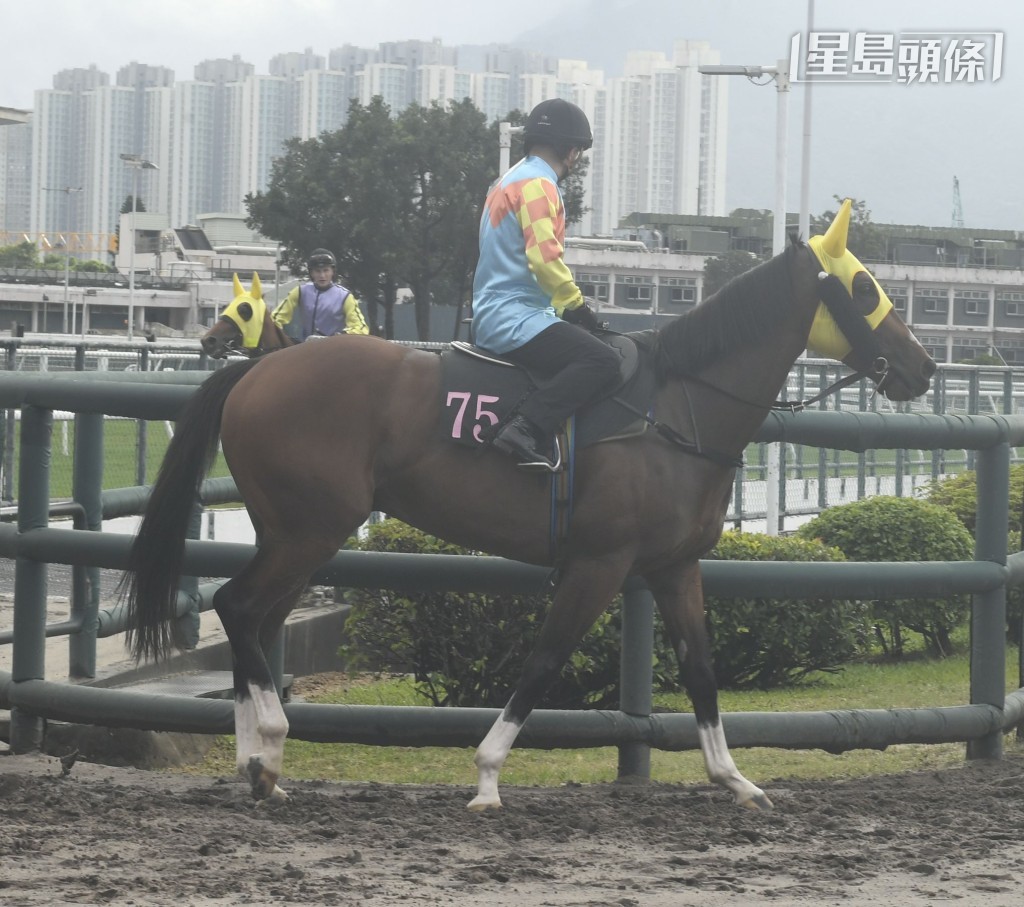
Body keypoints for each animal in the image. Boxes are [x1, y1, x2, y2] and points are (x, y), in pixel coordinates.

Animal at [121, 200, 935, 811]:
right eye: (866, 288)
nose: (923, 366)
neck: (676, 408)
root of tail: (259, 373)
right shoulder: (599, 562)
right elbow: (545, 661)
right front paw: (486, 776)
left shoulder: (675, 568)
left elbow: (702, 670)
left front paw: (733, 777)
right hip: (309, 531)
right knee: (237, 605)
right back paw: (267, 745)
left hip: (296, 534)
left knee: (252, 617)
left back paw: (256, 762)